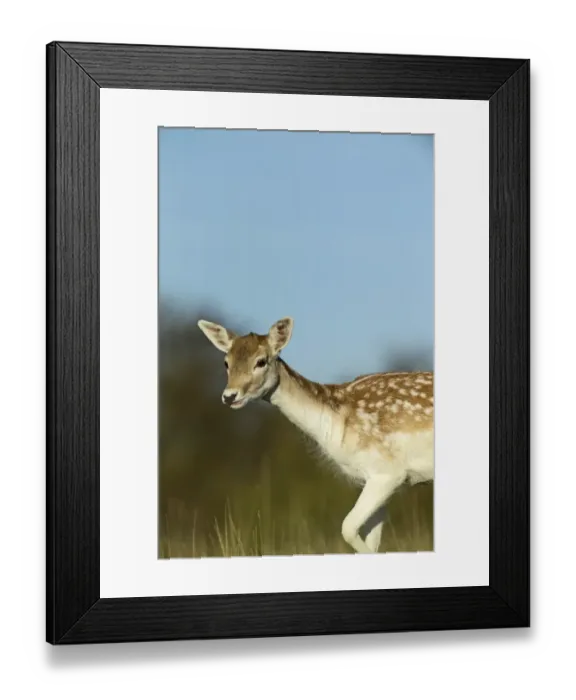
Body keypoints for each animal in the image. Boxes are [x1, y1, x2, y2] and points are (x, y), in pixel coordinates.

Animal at [197, 316, 434, 554]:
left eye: (261, 361)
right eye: (226, 362)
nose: (229, 396)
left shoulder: (389, 471)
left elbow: (347, 528)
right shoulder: (377, 478)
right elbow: (370, 541)